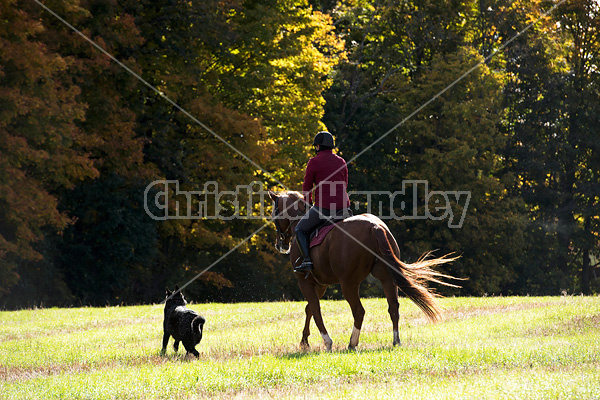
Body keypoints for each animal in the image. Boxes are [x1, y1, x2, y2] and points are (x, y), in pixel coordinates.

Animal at [270, 191, 458, 350]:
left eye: (274, 214)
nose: (280, 245)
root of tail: (374, 226)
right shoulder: (320, 284)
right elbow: (309, 308)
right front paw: (304, 341)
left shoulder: (305, 281)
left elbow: (315, 309)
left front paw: (325, 341)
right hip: (387, 278)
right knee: (393, 307)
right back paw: (395, 341)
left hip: (348, 284)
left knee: (359, 311)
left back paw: (352, 343)